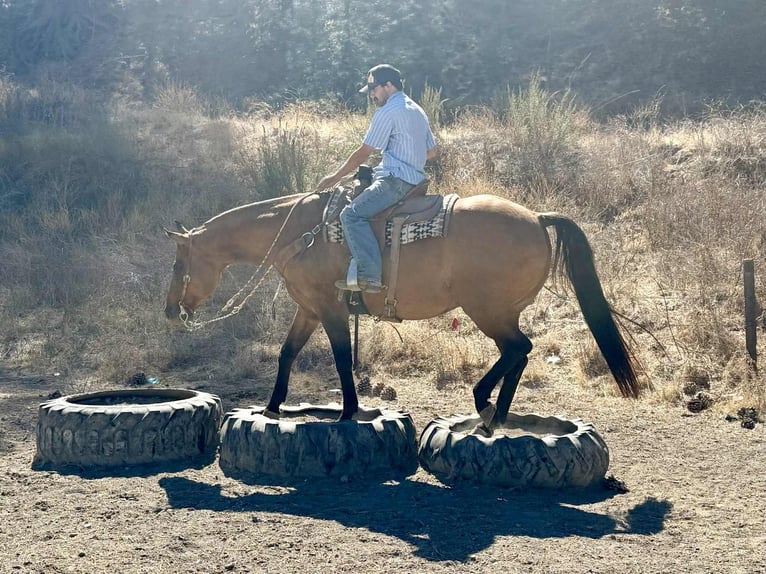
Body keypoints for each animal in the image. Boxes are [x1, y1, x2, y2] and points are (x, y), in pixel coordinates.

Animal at [164, 191, 640, 431]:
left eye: (178, 265)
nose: (169, 312)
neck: (300, 232)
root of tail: (538, 218)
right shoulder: (309, 310)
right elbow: (287, 354)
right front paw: (272, 407)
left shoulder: (331, 310)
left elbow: (341, 360)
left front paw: (348, 411)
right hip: (500, 312)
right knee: (519, 353)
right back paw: (496, 415)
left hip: (488, 311)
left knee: (518, 349)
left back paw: (486, 405)